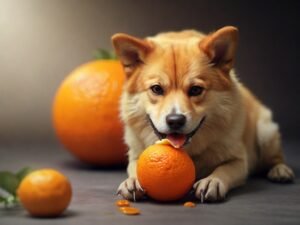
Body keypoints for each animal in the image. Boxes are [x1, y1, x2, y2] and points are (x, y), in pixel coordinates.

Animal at [111, 25, 294, 202]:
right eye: (156, 89)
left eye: (195, 90)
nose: (175, 120)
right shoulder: (135, 156)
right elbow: (135, 167)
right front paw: (132, 181)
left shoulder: (239, 161)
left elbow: (224, 169)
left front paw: (212, 181)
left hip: (265, 133)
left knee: (276, 157)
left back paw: (280, 170)